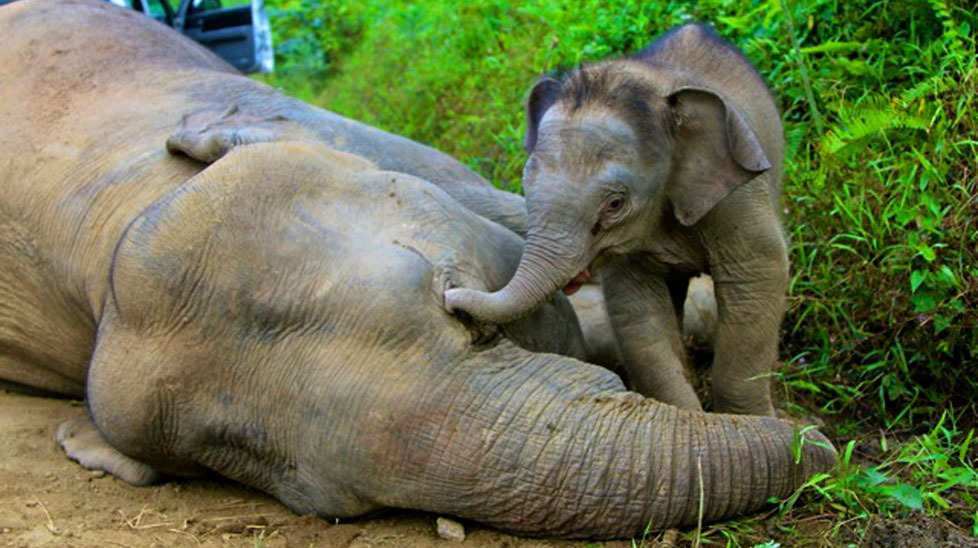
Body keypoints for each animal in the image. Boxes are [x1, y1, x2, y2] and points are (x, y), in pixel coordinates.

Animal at [445, 24, 788, 416]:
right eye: (524, 186)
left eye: (615, 204)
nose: (450, 299)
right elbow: (636, 309)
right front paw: (687, 416)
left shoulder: (737, 197)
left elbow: (757, 277)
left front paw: (757, 420)